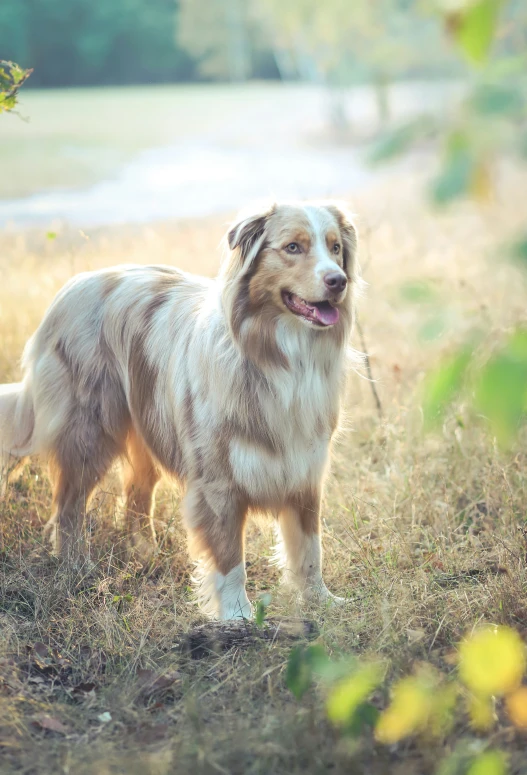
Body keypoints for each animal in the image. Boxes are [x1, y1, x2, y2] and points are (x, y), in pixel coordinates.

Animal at [0, 200, 358, 620]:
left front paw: (320, 600)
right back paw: (76, 566)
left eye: (335, 248)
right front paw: (237, 615)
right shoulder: (218, 480)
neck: (279, 356)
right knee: (69, 505)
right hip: (89, 433)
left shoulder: (304, 467)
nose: (338, 281)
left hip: (146, 428)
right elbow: (228, 555)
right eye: (293, 247)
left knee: (136, 497)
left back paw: (145, 554)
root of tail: (72, 287)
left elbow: (308, 545)